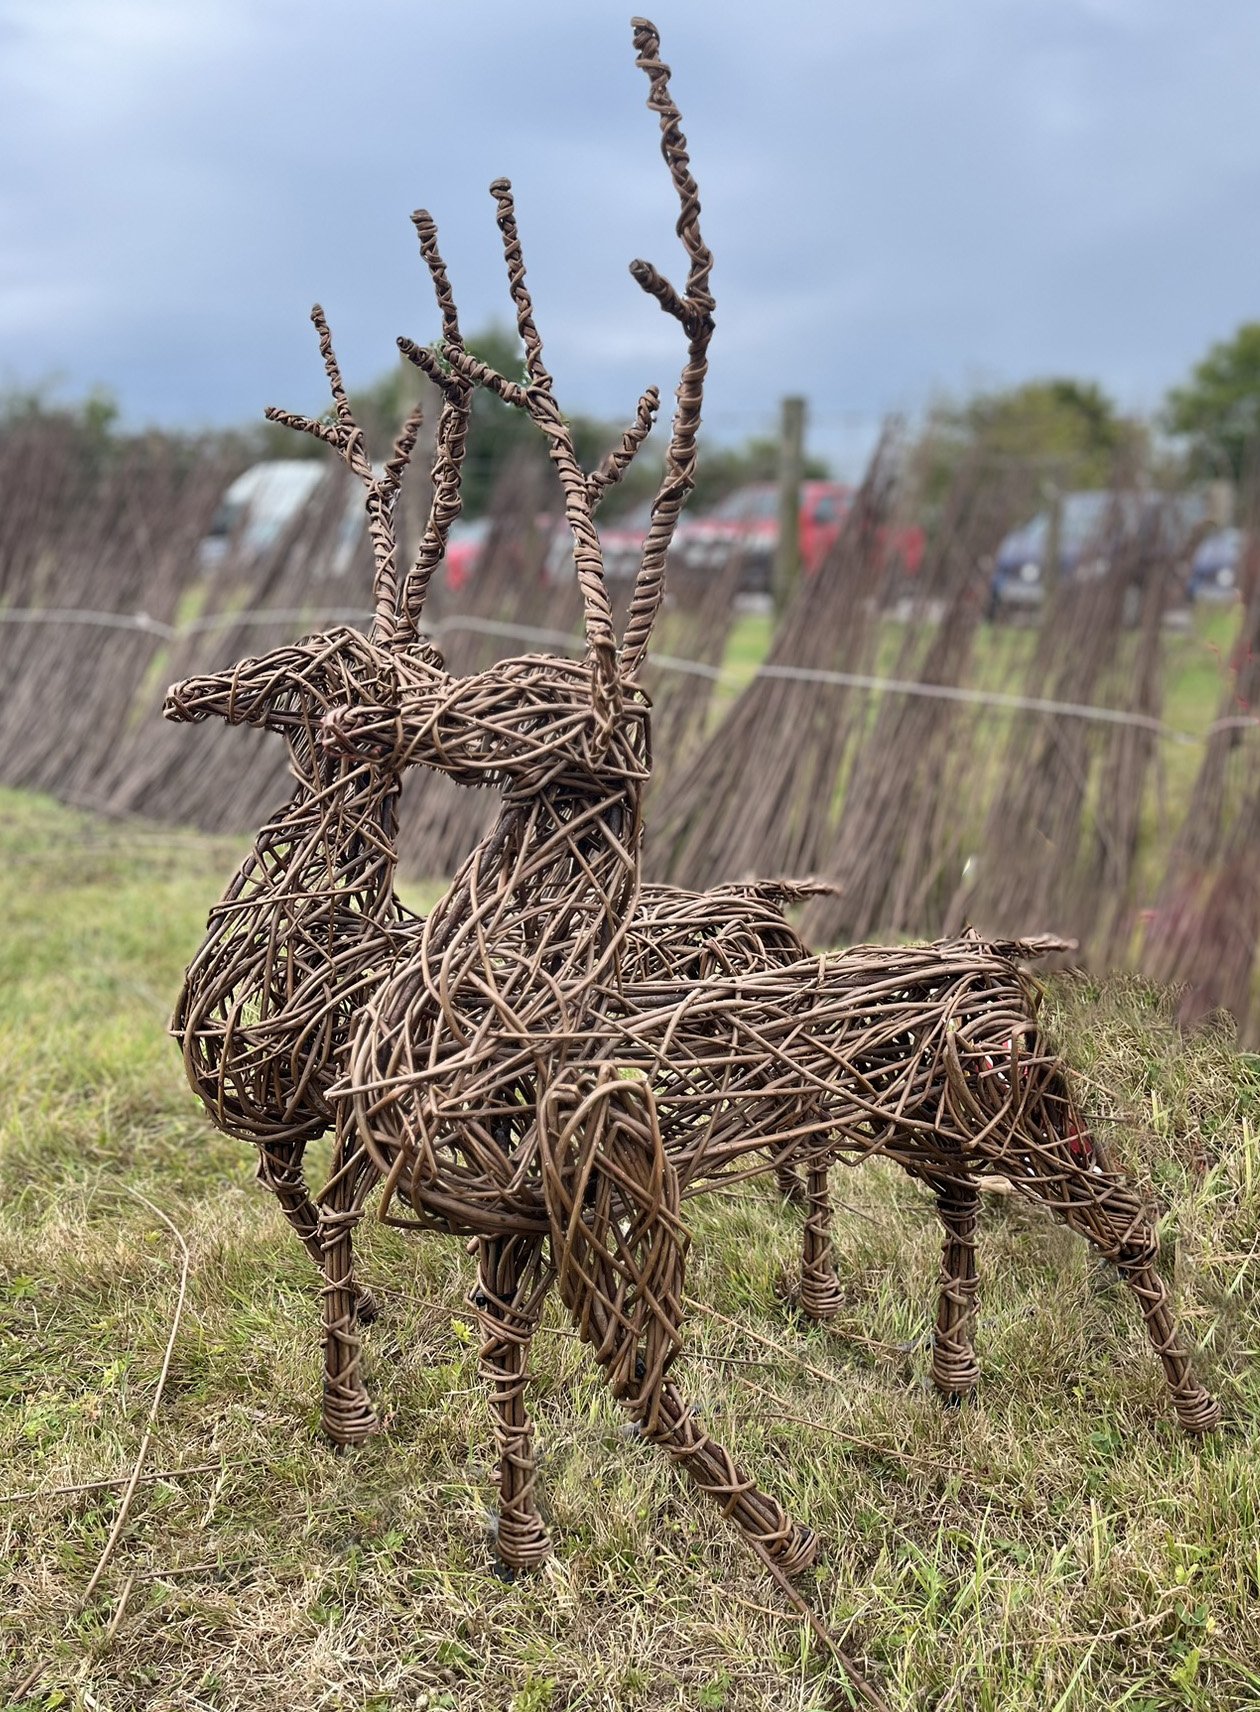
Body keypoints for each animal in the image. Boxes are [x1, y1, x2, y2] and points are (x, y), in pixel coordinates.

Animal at [312, 19, 1219, 1598]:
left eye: (532, 704)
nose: (397, 719)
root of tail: (996, 961)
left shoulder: (610, 1187)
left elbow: (650, 1388)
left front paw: (803, 1576)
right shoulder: (517, 1224)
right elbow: (507, 1365)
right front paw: (515, 1545)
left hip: (1031, 1116)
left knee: (1128, 1224)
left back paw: (1193, 1415)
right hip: (935, 1126)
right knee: (964, 1219)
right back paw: (954, 1379)